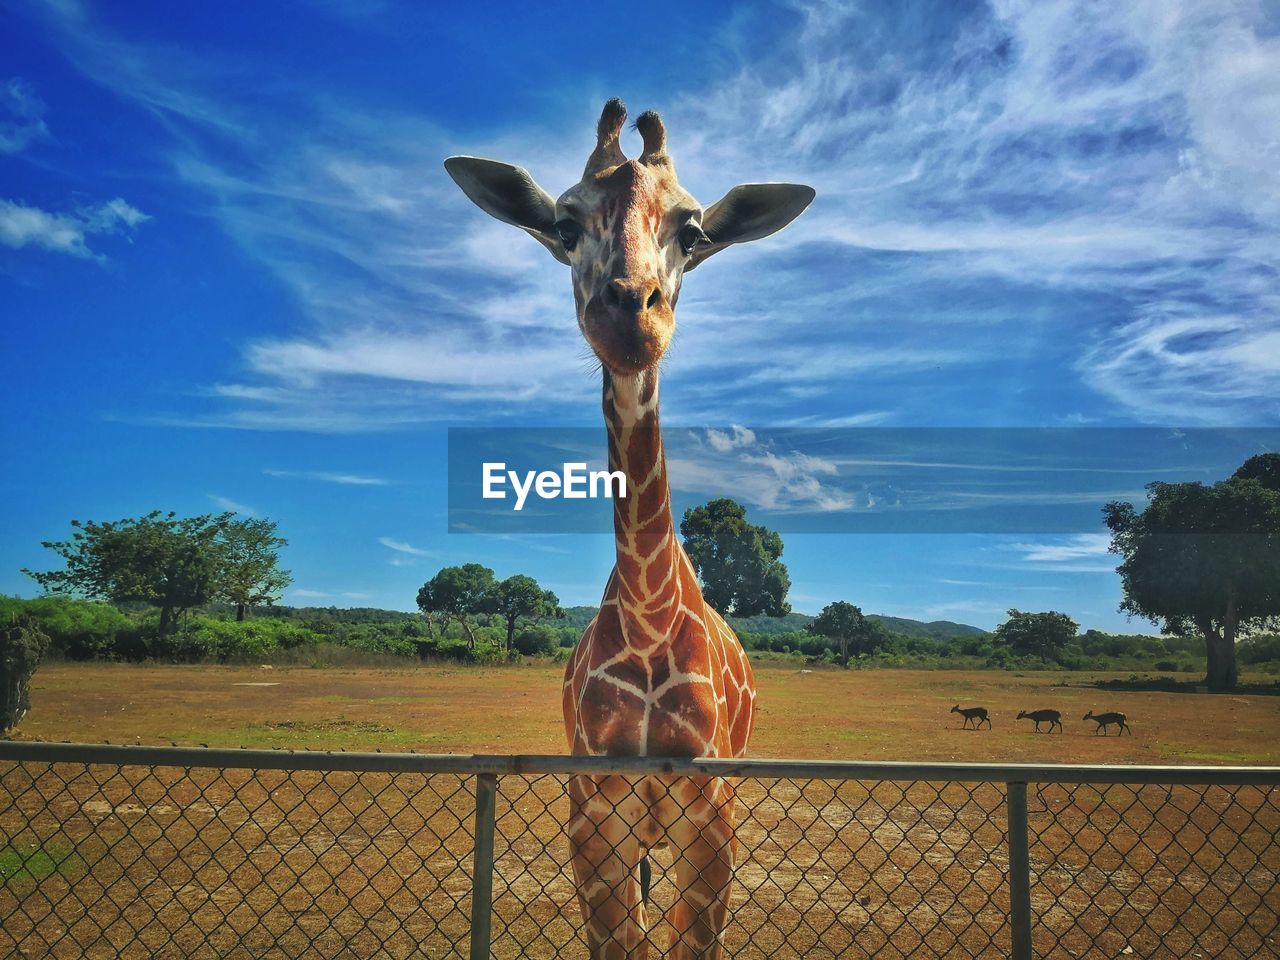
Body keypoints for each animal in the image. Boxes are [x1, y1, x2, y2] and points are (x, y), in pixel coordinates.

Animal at [445, 101, 814, 957]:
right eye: (565, 222)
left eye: (693, 229)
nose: (630, 318)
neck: (648, 618)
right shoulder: (597, 812)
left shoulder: (709, 817)